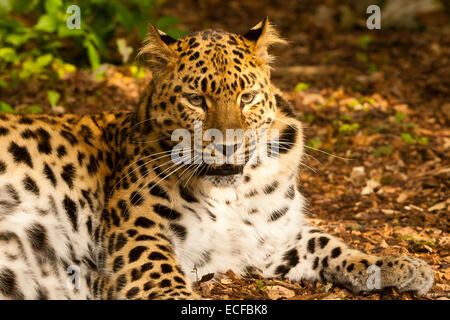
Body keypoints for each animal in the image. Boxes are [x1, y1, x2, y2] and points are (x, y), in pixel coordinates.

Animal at [0, 18, 436, 300]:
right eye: (196, 99)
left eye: (247, 97)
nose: (227, 145)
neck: (233, 194)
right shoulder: (138, 235)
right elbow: (163, 278)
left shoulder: (274, 241)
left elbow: (330, 245)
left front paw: (396, 264)